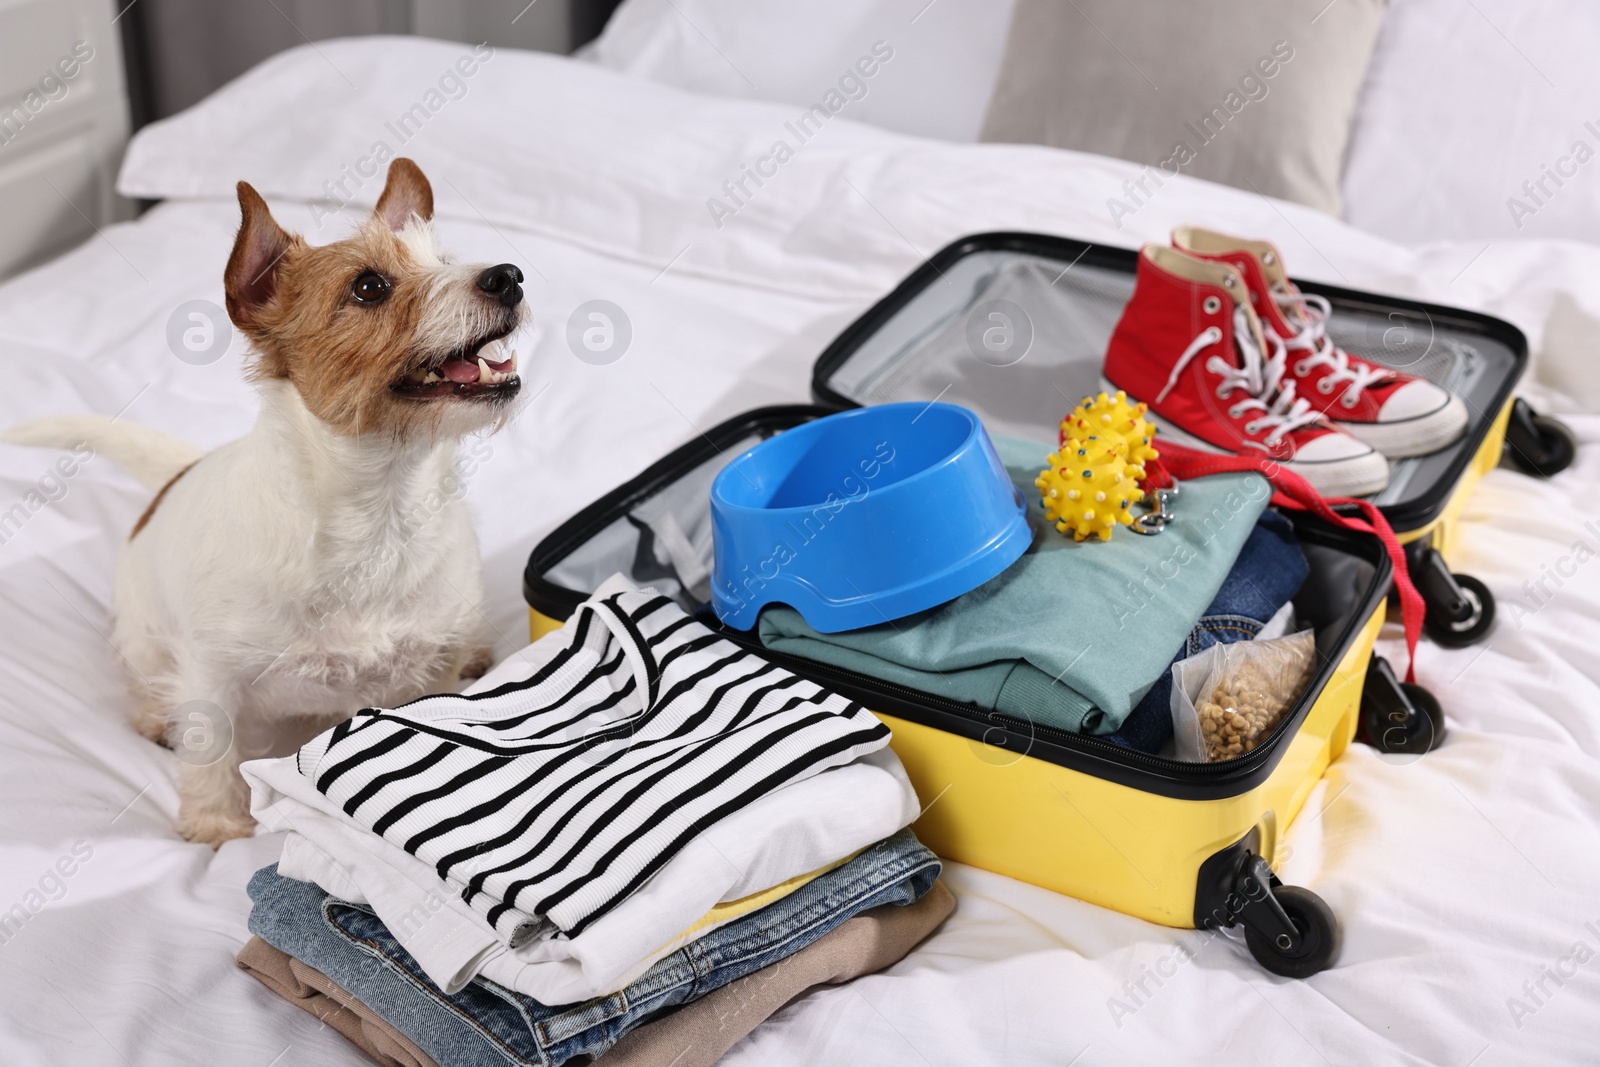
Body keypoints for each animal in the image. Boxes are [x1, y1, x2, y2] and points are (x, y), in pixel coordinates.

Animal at [7, 158, 531, 844]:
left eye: (443, 259)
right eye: (369, 286)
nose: (509, 276)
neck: (379, 507)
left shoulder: (426, 668)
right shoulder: (212, 674)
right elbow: (211, 752)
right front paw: (217, 827)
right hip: (144, 634)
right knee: (145, 673)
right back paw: (154, 715)